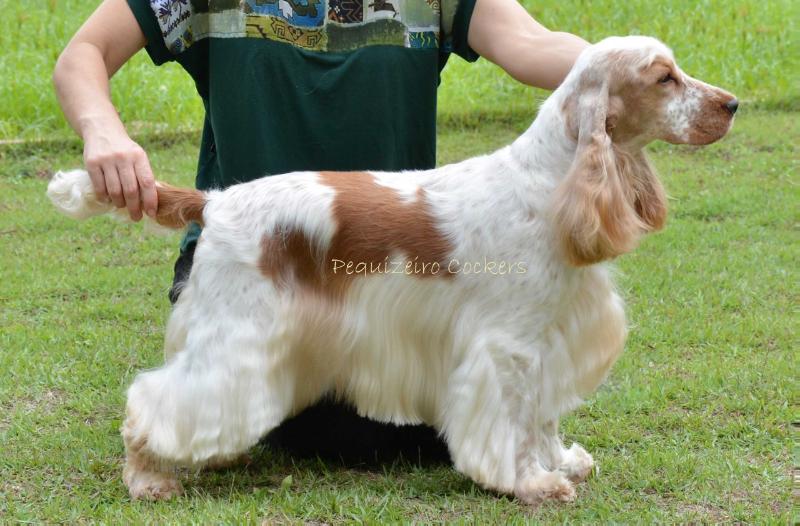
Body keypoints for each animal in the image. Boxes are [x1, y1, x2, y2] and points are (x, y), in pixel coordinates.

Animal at [48, 35, 736, 506]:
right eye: (665, 78)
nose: (732, 103)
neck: (551, 182)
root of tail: (215, 201)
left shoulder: (548, 339)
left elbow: (542, 415)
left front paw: (558, 463)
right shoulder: (506, 347)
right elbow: (512, 419)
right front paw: (530, 483)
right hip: (236, 334)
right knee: (155, 399)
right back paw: (148, 477)